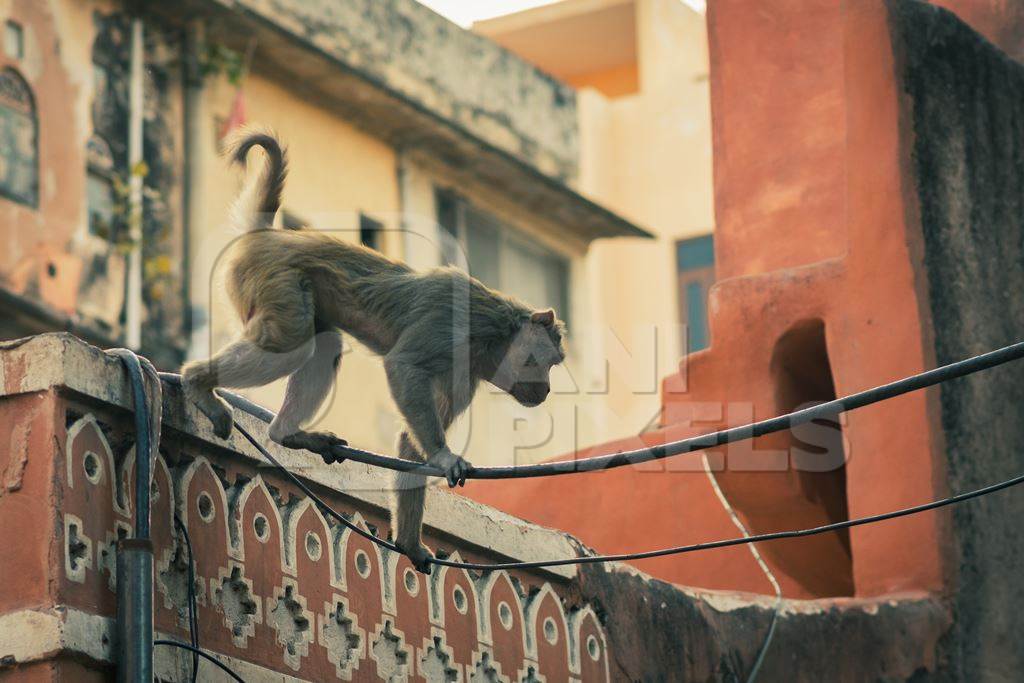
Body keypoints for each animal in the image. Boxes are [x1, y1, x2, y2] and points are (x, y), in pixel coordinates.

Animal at [184, 126, 569, 573]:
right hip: (273, 278)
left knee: (322, 346)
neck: (495, 334)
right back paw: (197, 383)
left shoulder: (467, 370)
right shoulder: (454, 317)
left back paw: (287, 433)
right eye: (546, 361)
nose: (546, 388)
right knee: (291, 345)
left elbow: (408, 439)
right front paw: (443, 456)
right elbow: (403, 366)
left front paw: (410, 542)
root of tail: (269, 236)